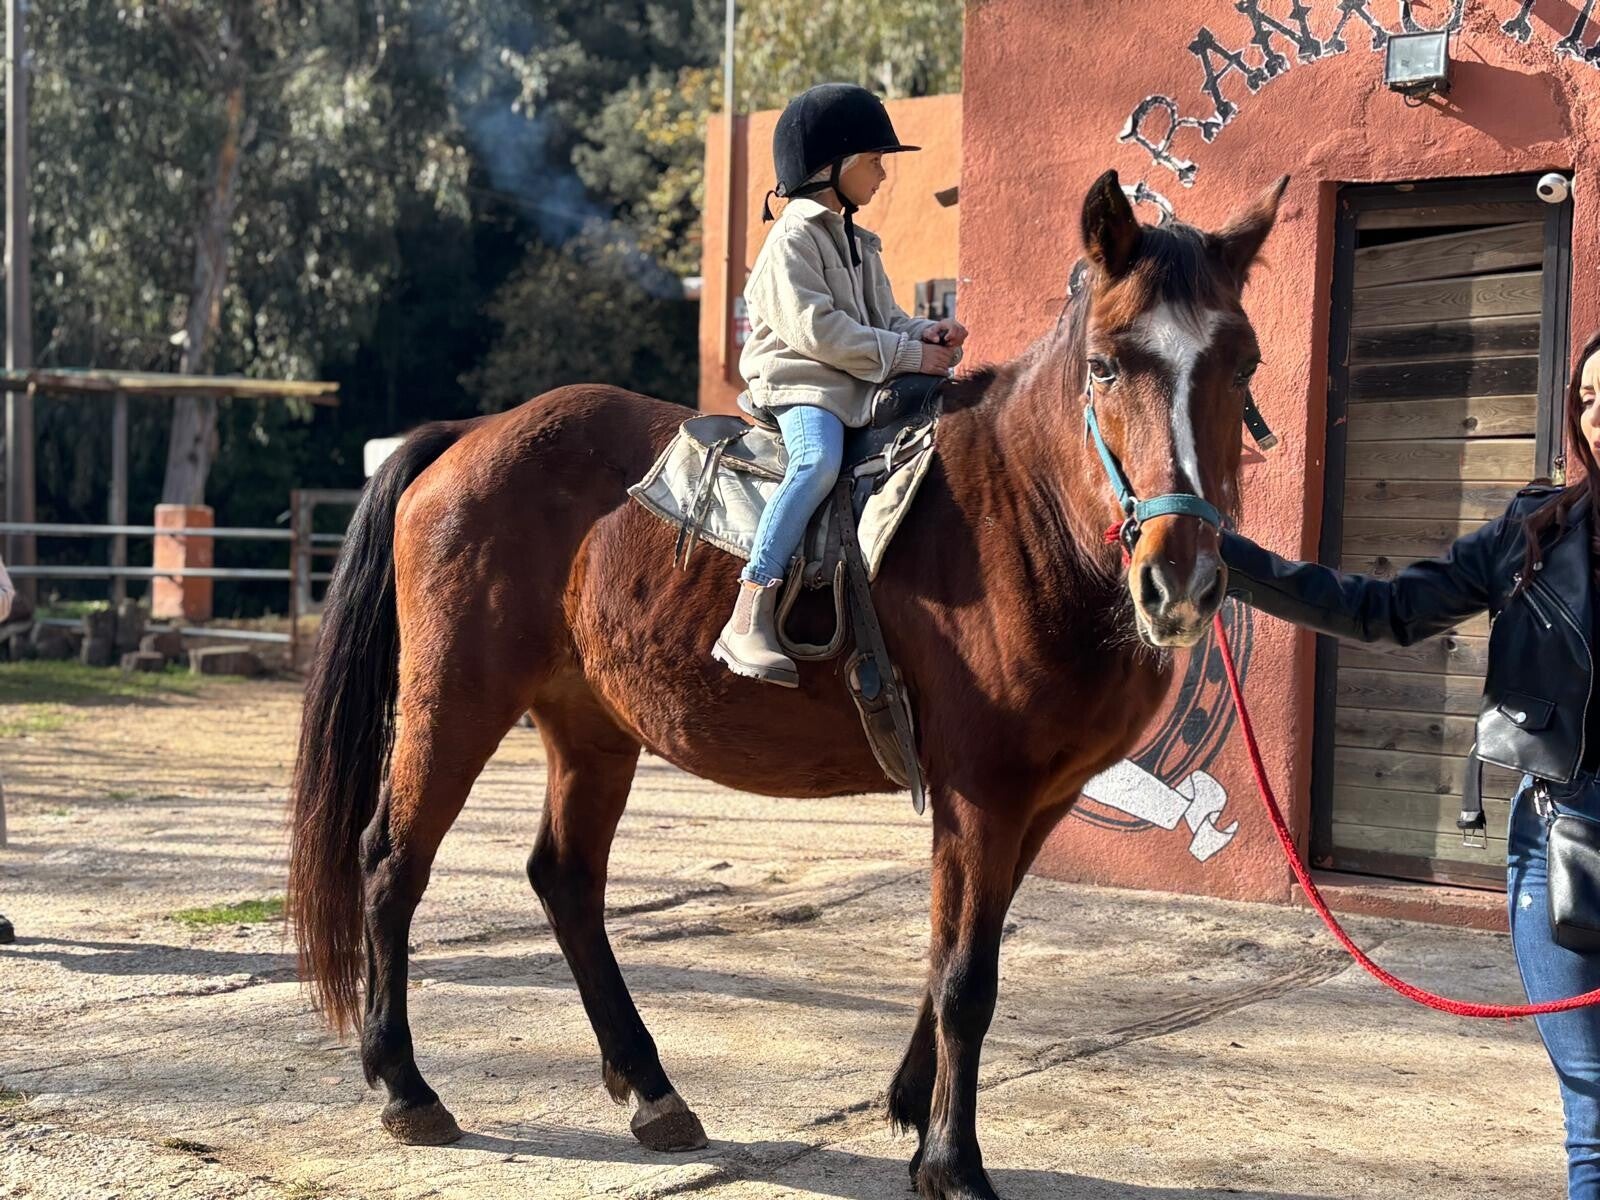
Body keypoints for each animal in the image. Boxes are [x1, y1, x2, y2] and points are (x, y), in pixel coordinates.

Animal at [287, 168, 1288, 1200]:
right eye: (1105, 365)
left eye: (1243, 365)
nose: (1182, 580)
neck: (1024, 516)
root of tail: (468, 435)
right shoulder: (983, 792)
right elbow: (967, 978)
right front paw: (952, 1161)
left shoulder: (1039, 803)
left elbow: (958, 956)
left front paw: (911, 1109)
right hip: (456, 700)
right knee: (391, 860)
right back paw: (406, 1085)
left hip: (591, 725)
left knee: (565, 878)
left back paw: (651, 1087)